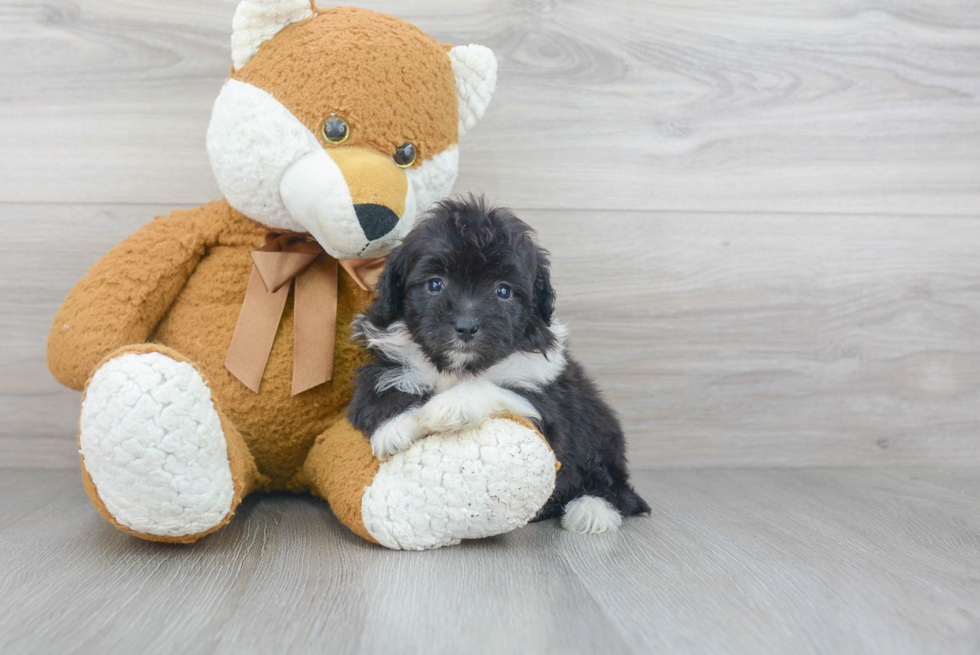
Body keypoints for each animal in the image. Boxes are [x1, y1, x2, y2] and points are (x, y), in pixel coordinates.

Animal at [346, 196, 652, 532]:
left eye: (503, 291)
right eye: (435, 284)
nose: (466, 327)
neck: (459, 368)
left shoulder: (545, 401)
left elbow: (495, 388)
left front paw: (451, 406)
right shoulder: (382, 363)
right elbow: (381, 389)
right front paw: (397, 426)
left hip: (600, 429)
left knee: (614, 485)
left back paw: (592, 509)